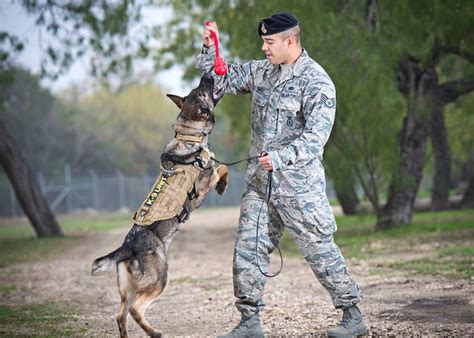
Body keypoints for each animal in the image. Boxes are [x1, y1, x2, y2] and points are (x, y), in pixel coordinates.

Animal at [91, 72, 229, 336]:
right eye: (202, 91)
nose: (207, 74)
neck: (189, 134)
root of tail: (128, 246)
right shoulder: (204, 183)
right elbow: (222, 167)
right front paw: (223, 185)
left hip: (128, 289)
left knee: (120, 315)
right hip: (159, 279)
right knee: (136, 310)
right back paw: (155, 332)